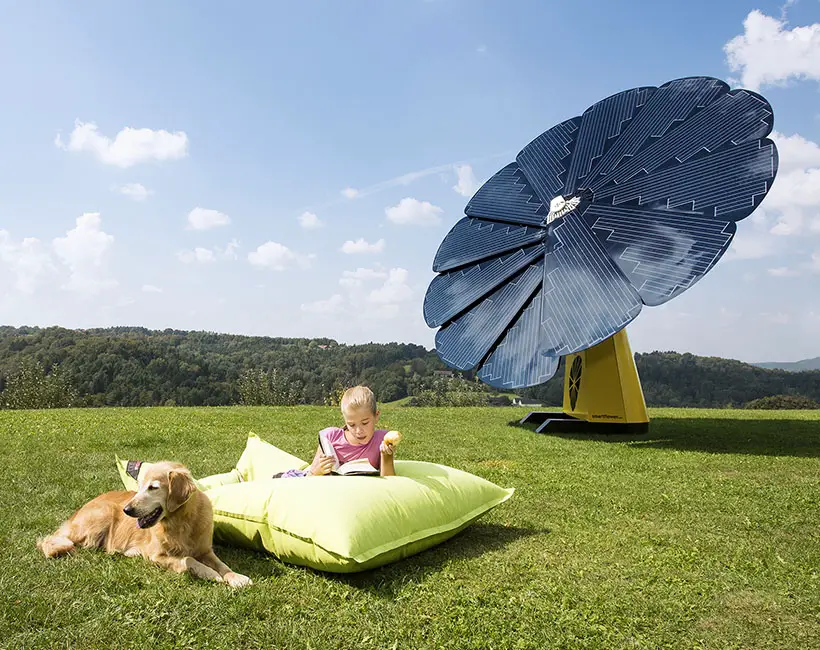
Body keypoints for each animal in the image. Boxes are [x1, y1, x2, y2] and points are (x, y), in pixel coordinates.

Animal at [36, 458, 253, 584]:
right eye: (139, 487)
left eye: (153, 487)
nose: (127, 510)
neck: (180, 522)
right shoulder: (157, 555)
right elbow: (188, 560)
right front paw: (211, 574)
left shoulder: (205, 551)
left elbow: (223, 565)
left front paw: (237, 577)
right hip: (102, 514)